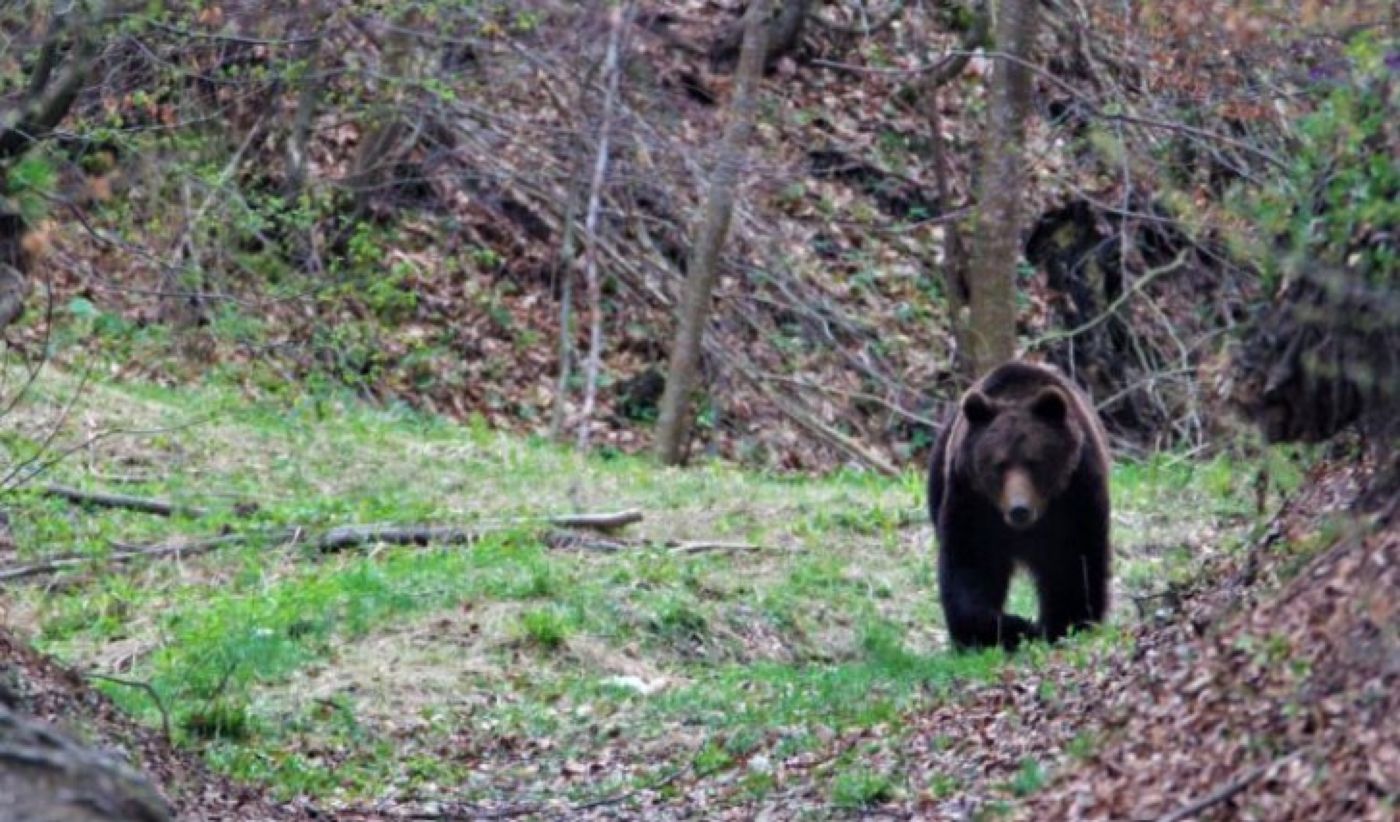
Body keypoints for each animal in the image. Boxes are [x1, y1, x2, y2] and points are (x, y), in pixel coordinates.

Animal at [924, 361, 1108, 649]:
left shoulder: (1076, 494)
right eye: (999, 464)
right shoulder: (972, 500)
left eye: (1034, 462)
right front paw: (1009, 627)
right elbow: (970, 563)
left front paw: (1066, 623)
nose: (1019, 509)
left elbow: (1075, 562)